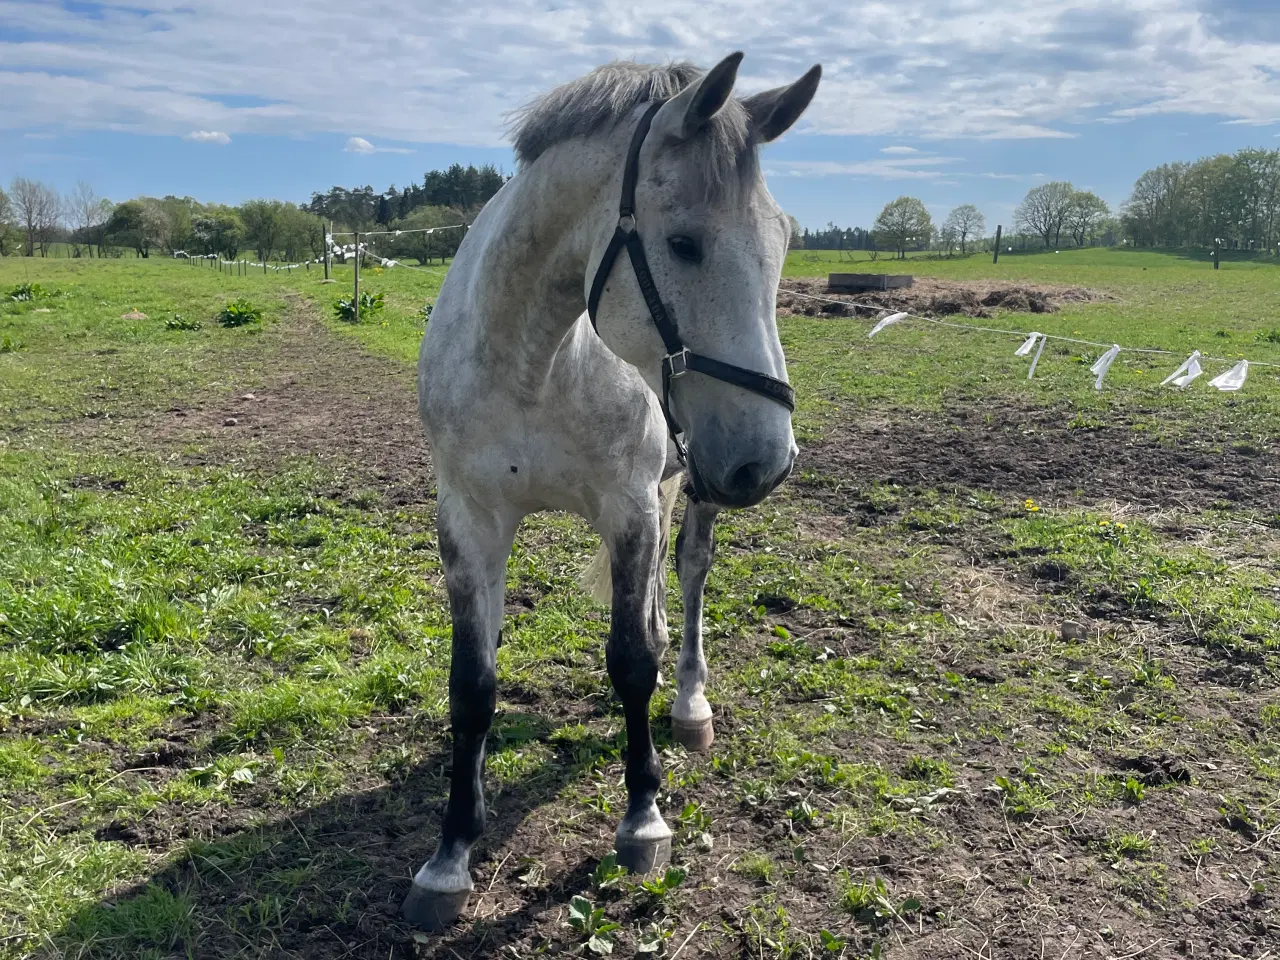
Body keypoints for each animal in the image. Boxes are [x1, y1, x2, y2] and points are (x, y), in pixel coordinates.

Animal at [401, 50, 819, 931]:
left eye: (782, 241)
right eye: (684, 243)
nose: (767, 461)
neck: (535, 361)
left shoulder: (629, 509)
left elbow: (631, 660)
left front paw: (642, 818)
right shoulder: (470, 521)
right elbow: (472, 682)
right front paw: (450, 854)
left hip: (688, 487)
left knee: (687, 583)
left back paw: (689, 706)